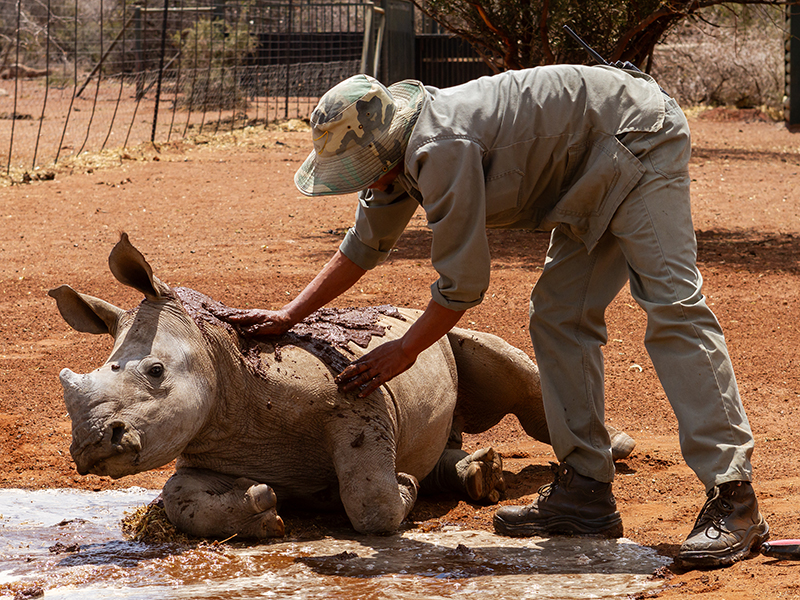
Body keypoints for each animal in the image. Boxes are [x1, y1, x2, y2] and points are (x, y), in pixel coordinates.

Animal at [51, 234, 636, 540]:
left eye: (155, 372)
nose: (93, 446)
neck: (222, 359)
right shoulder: (207, 441)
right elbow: (179, 499)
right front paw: (263, 507)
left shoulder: (356, 399)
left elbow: (369, 498)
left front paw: (402, 490)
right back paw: (478, 478)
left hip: (447, 339)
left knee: (516, 374)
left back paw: (616, 450)